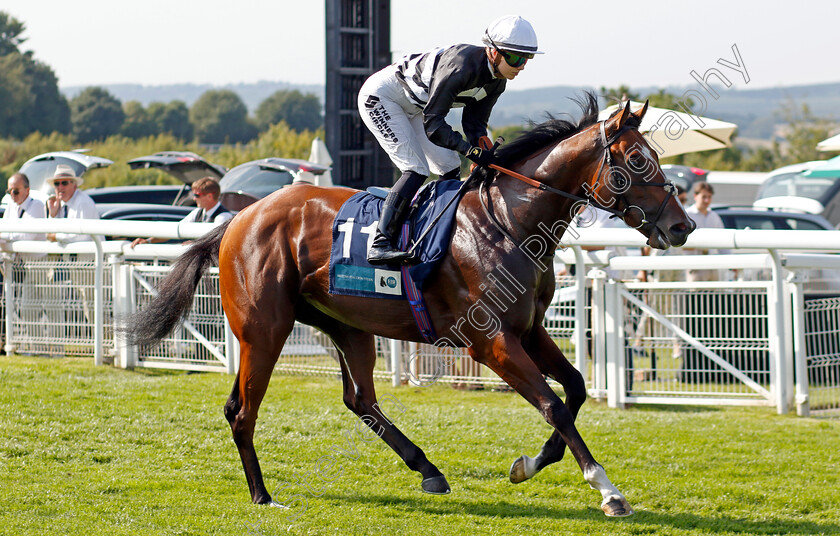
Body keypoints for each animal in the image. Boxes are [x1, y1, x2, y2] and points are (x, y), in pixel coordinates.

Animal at [128, 94, 696, 516]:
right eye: (637, 160)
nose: (682, 226)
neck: (506, 223)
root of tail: (237, 220)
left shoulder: (530, 330)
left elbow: (574, 389)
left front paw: (531, 463)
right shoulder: (490, 342)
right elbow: (553, 404)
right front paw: (607, 490)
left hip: (347, 326)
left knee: (358, 399)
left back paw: (428, 469)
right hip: (263, 331)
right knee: (243, 411)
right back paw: (263, 495)